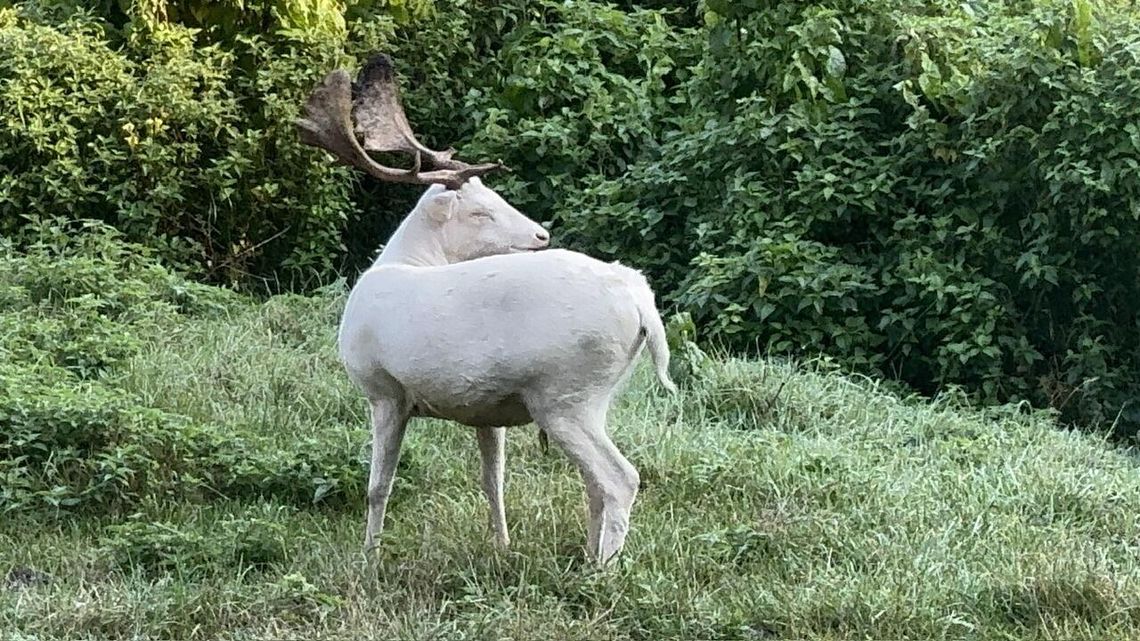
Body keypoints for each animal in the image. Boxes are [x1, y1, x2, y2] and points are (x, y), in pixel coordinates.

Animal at [298, 54, 674, 563]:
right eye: (480, 209)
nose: (540, 234)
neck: (403, 261)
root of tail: (640, 301)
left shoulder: (384, 389)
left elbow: (378, 486)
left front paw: (369, 557)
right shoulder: (486, 411)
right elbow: (493, 480)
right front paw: (502, 544)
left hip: (565, 394)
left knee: (619, 478)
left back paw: (602, 568)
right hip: (598, 395)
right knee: (595, 483)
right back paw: (585, 555)